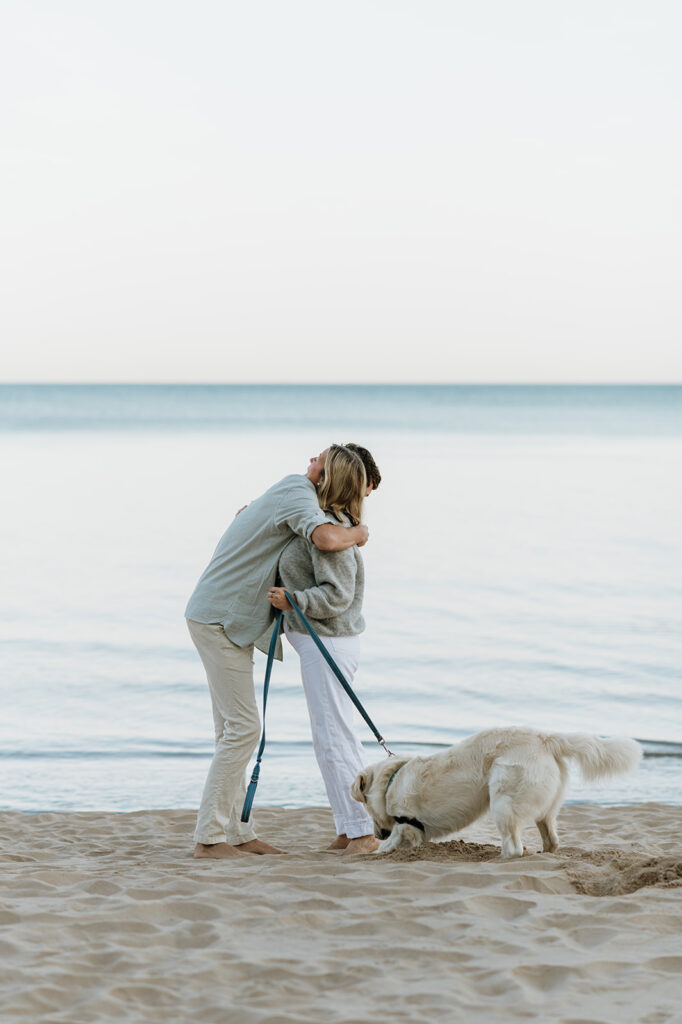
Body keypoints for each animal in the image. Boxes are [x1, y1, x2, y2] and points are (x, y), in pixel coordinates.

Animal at [348, 724, 638, 860]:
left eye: (366, 807)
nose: (377, 834)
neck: (392, 780)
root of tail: (545, 738)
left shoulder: (406, 824)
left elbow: (392, 842)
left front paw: (376, 850)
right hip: (546, 807)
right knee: (551, 839)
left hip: (503, 798)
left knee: (514, 848)